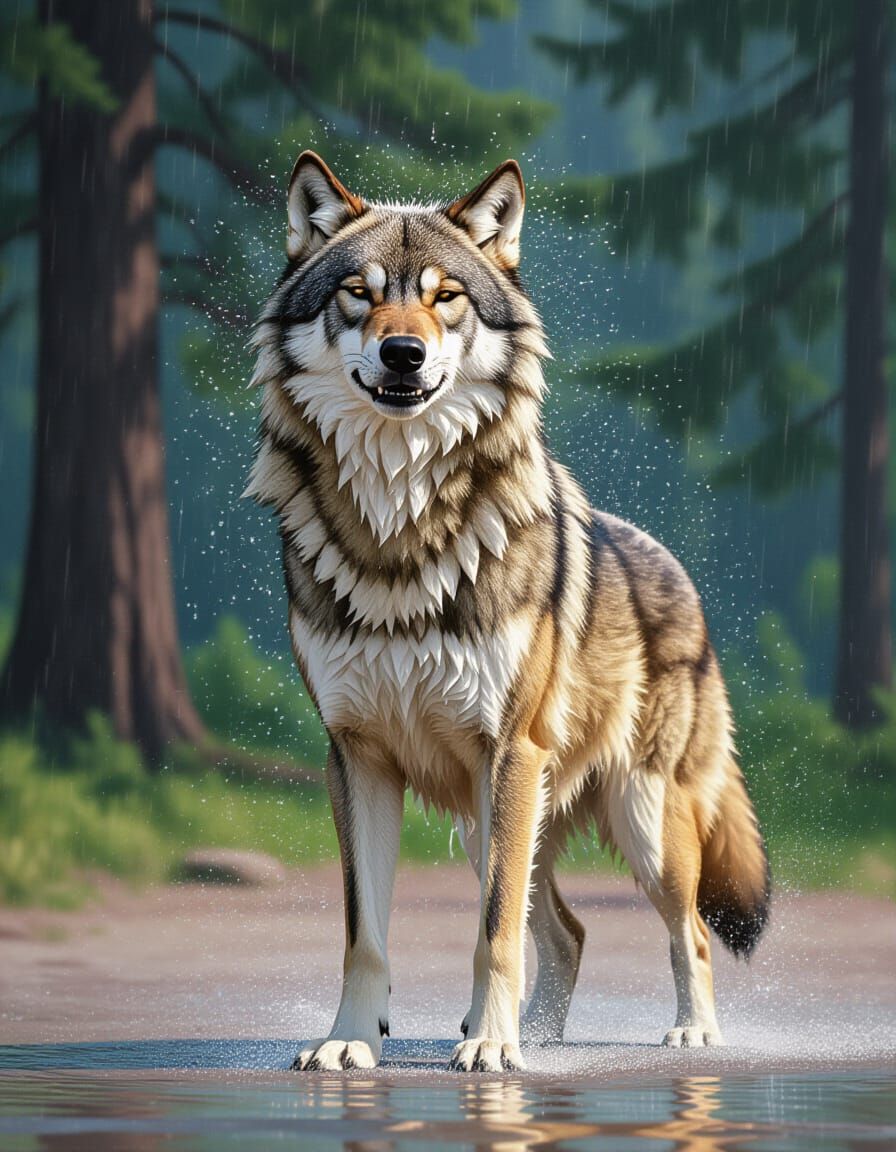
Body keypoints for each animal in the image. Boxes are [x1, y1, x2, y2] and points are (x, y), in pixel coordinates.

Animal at [247, 151, 770, 1073]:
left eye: (446, 296)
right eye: (359, 293)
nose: (404, 352)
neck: (399, 535)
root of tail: (677, 568)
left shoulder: (510, 749)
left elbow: (492, 932)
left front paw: (492, 1050)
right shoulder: (356, 757)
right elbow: (364, 933)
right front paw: (351, 1042)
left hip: (638, 821)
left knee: (689, 931)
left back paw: (687, 1033)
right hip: (485, 821)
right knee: (567, 929)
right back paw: (538, 1037)